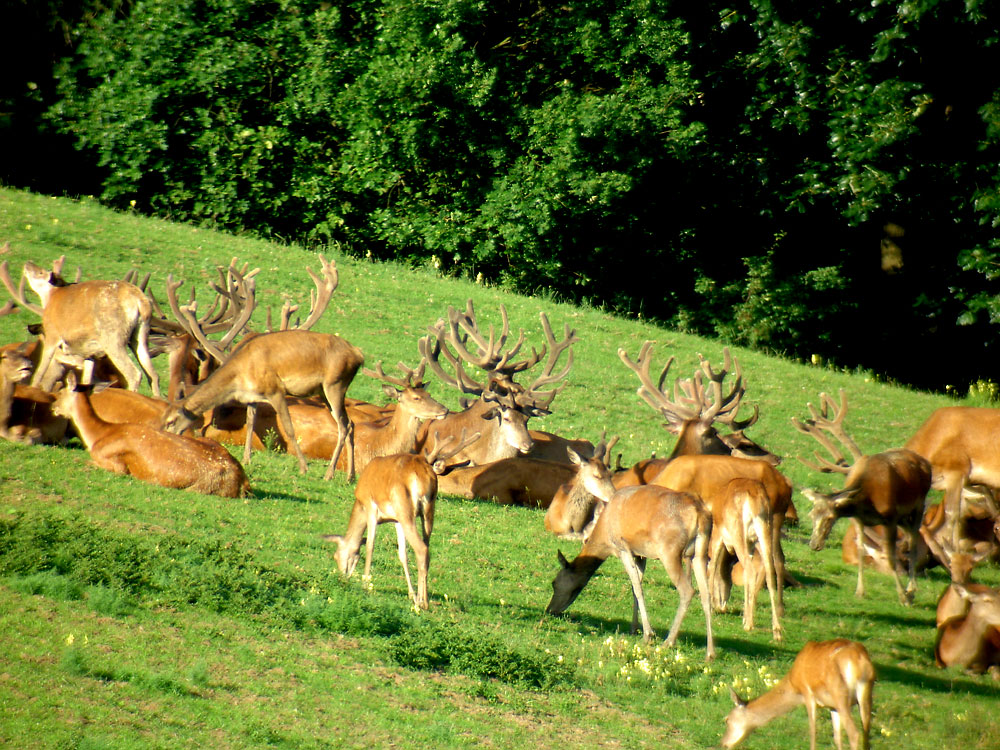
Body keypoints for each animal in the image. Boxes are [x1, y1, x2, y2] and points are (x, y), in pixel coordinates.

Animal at [52, 370, 252, 500]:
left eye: (60, 392)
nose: (53, 407)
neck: (99, 435)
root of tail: (242, 481)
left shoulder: (115, 463)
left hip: (197, 488)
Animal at [320, 428, 476, 612]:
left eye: (336, 556)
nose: (342, 577)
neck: (359, 503)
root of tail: (423, 473)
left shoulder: (371, 507)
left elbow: (370, 545)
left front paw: (366, 583)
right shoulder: (396, 520)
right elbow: (402, 554)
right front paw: (411, 594)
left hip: (406, 509)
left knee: (421, 549)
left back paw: (423, 602)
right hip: (427, 510)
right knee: (426, 548)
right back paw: (422, 597)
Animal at [544, 484, 716, 660]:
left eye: (554, 583)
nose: (550, 610)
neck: (604, 536)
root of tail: (699, 515)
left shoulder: (623, 548)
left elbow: (637, 588)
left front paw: (648, 634)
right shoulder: (640, 554)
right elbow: (635, 587)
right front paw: (634, 628)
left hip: (669, 552)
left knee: (687, 590)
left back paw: (668, 642)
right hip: (699, 554)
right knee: (706, 594)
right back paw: (710, 652)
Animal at [720, 640, 876, 750]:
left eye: (727, 720)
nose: (723, 743)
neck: (794, 686)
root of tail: (860, 661)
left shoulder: (808, 693)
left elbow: (813, 733)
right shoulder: (831, 706)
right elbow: (837, 738)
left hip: (840, 695)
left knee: (854, 734)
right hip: (865, 694)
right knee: (866, 736)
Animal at [792, 390, 932, 608]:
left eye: (830, 518)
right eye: (811, 514)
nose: (814, 544)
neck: (865, 502)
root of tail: (925, 463)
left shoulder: (889, 518)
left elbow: (890, 557)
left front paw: (902, 597)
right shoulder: (860, 519)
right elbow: (860, 550)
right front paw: (860, 591)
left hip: (918, 504)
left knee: (914, 539)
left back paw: (911, 590)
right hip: (904, 516)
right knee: (910, 538)